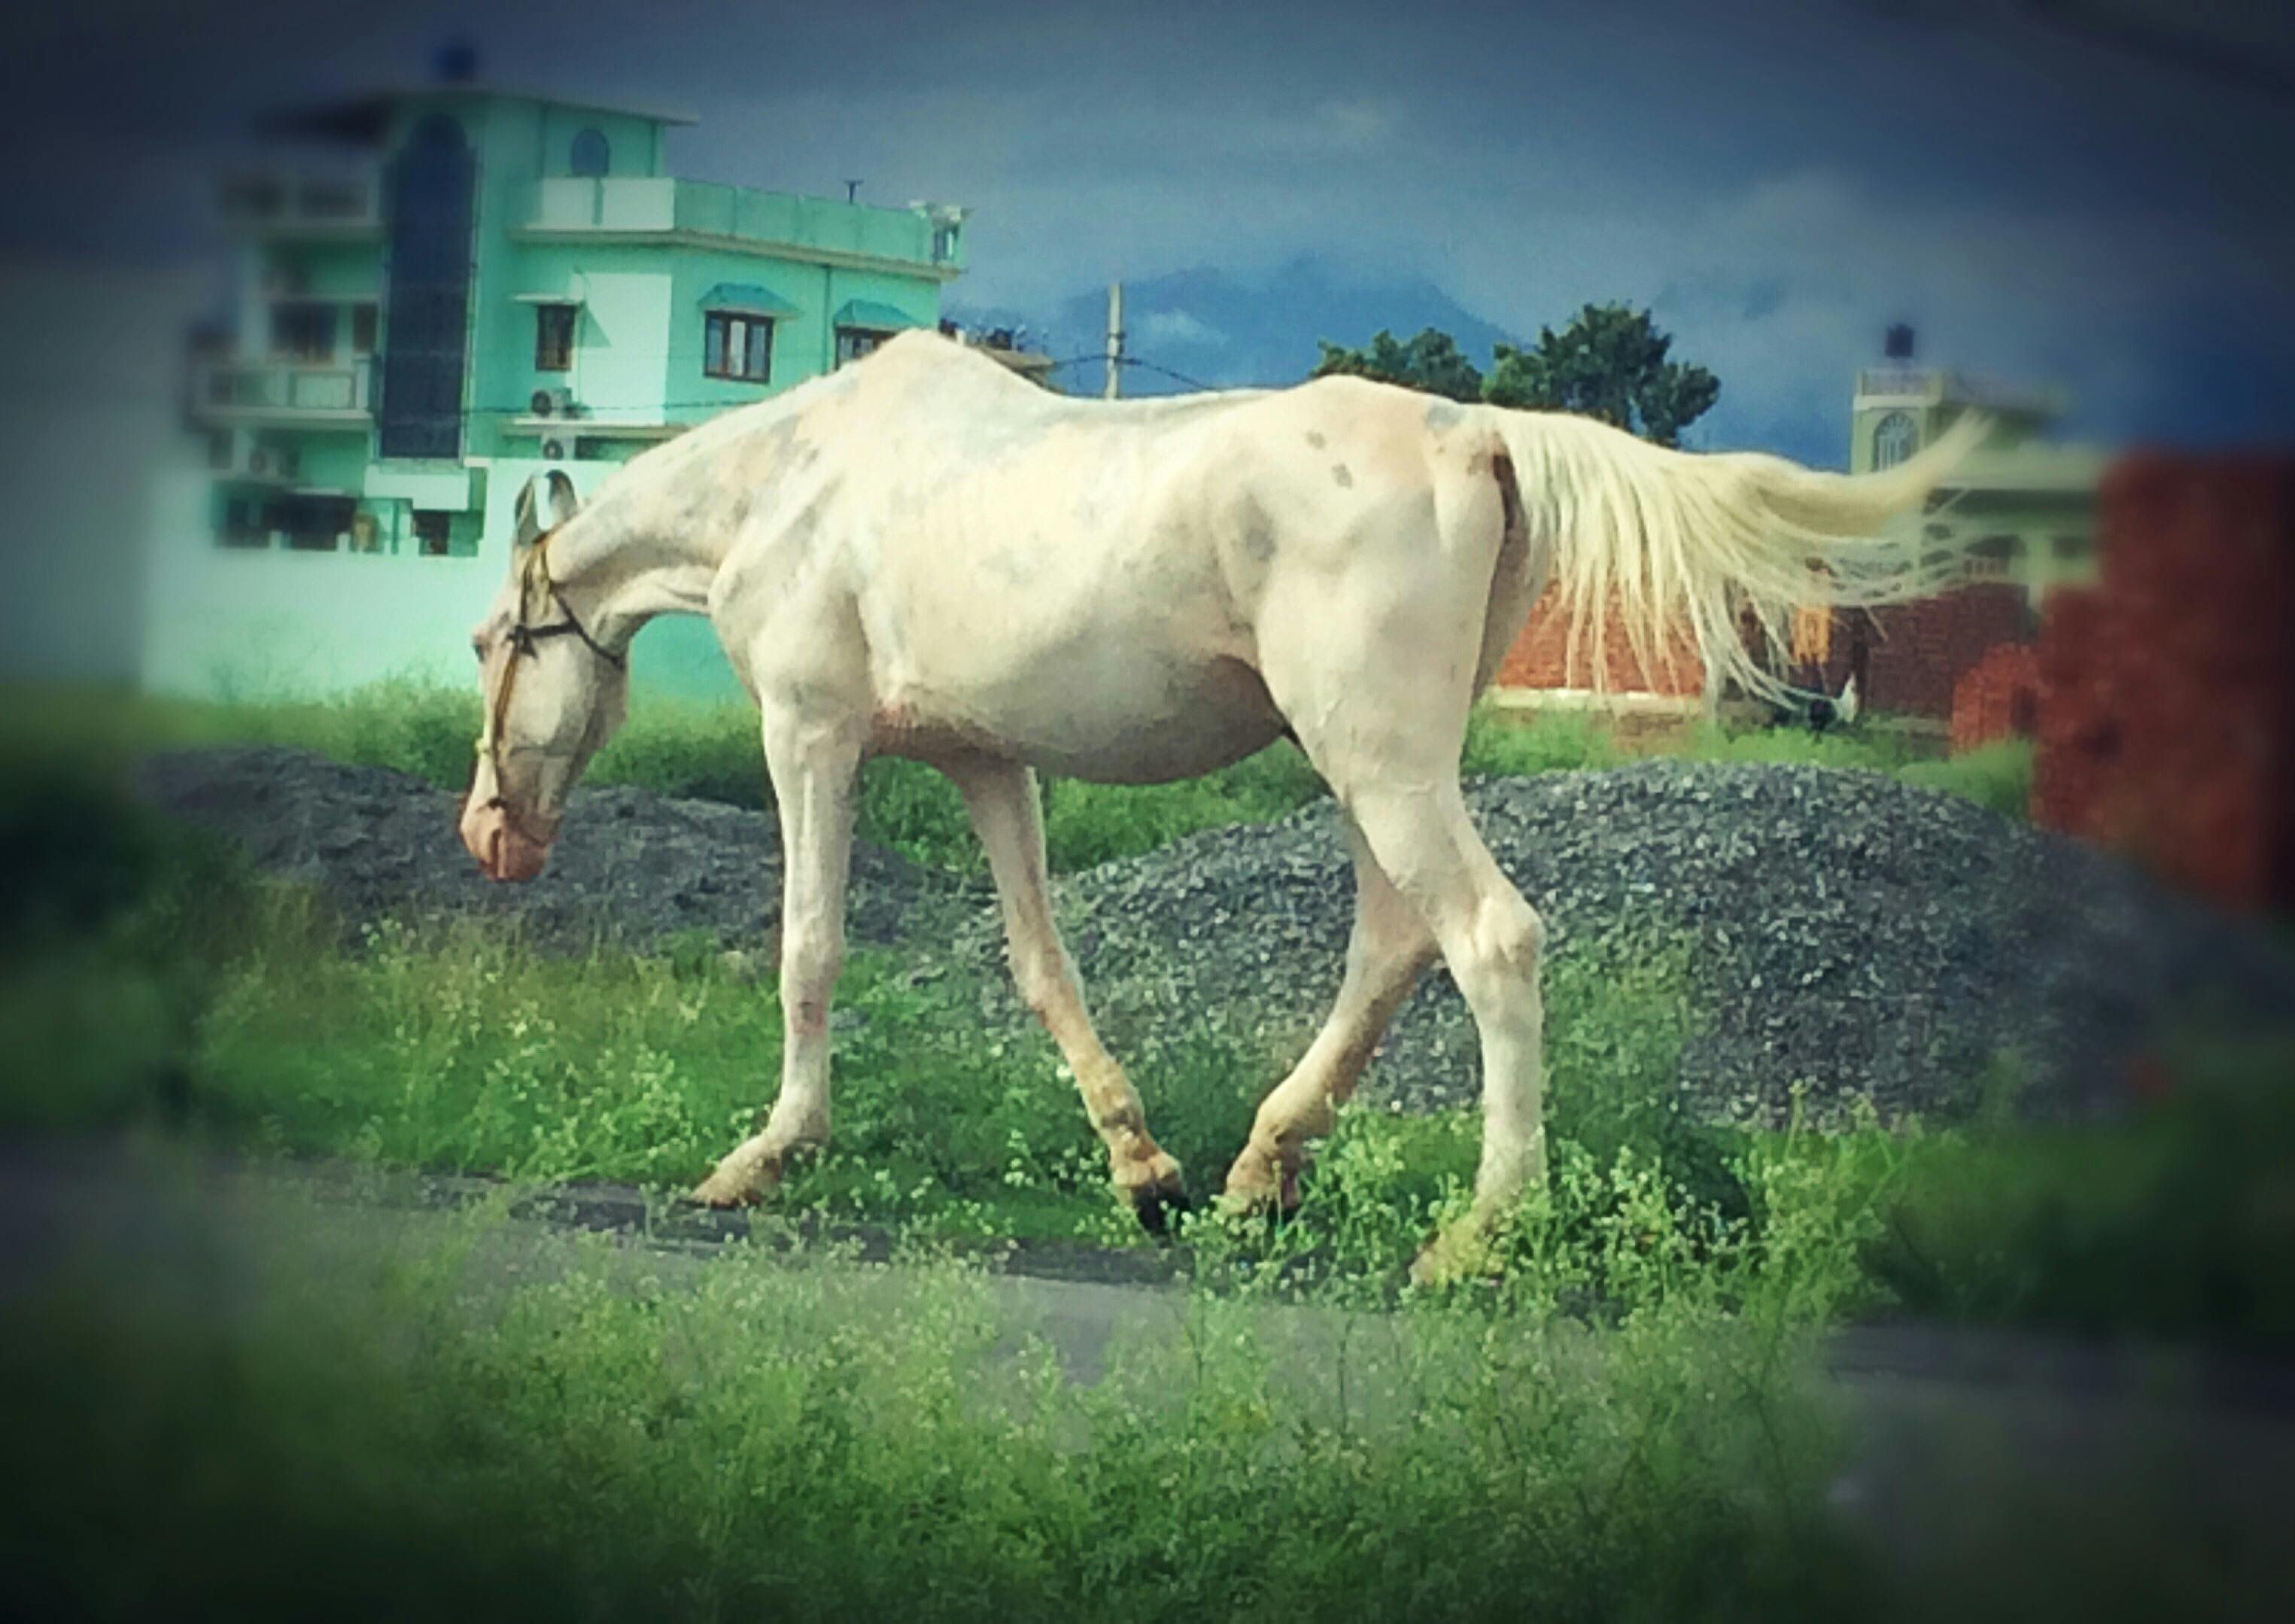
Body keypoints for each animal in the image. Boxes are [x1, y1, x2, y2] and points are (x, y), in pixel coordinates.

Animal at [456, 330, 1983, 1275]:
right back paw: (1260, 1168)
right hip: (1375, 762)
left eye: (489, 643)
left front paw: (762, 1156)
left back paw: (1476, 1231)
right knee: (1393, 940)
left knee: (1489, 940)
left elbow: (809, 950)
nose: (489, 835)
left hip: (1375, 756)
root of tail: (1480, 434)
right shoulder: (984, 761)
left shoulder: (811, 734)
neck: (795, 483)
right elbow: (1040, 961)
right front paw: (1142, 1167)